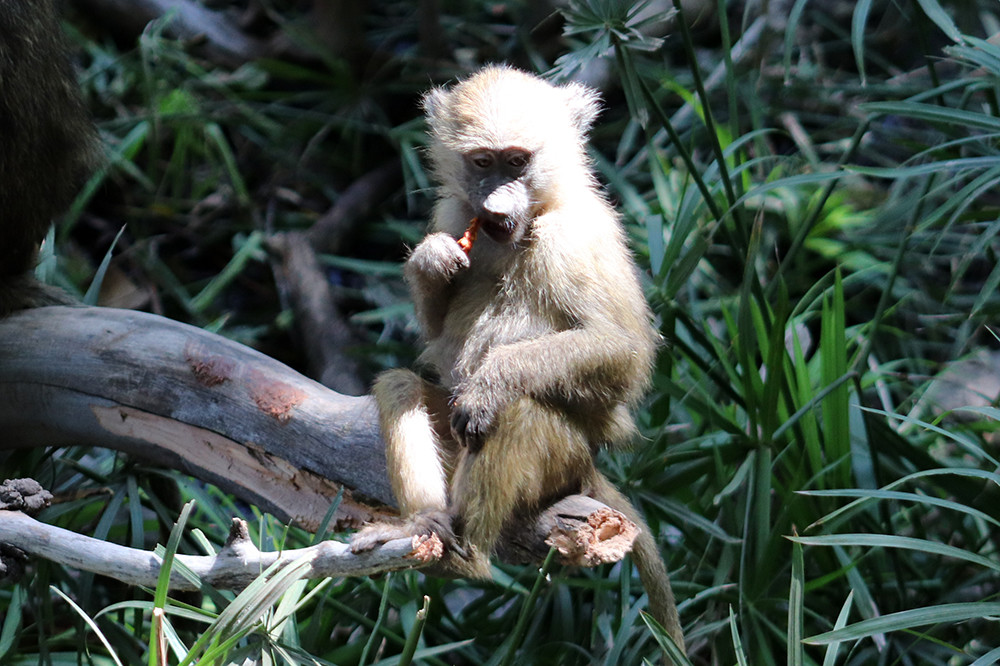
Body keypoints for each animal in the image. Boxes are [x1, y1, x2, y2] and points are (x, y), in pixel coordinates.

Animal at [351, 65, 685, 654]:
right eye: (483, 163)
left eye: (518, 161)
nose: (496, 206)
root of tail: (588, 467)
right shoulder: (455, 212)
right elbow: (436, 331)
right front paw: (430, 261)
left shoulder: (566, 240)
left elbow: (623, 352)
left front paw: (491, 384)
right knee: (402, 387)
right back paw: (424, 526)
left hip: (562, 460)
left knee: (515, 411)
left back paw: (469, 560)